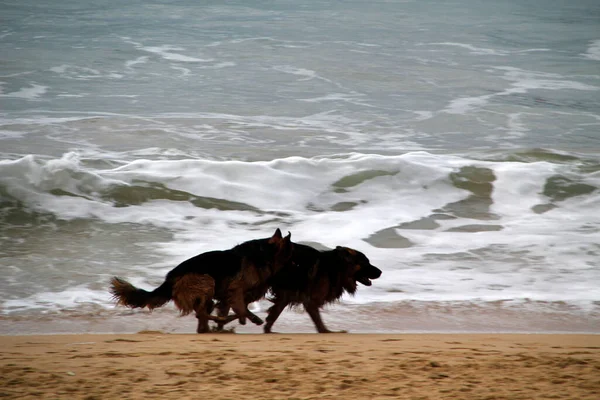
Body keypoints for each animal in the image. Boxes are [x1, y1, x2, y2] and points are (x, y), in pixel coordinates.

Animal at [111, 230, 294, 332]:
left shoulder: (230, 297)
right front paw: (240, 319)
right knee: (201, 313)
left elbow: (239, 311)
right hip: (207, 281)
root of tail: (170, 278)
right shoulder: (235, 291)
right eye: (292, 256)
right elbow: (241, 311)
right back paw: (215, 321)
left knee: (202, 315)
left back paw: (209, 326)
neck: (266, 254)